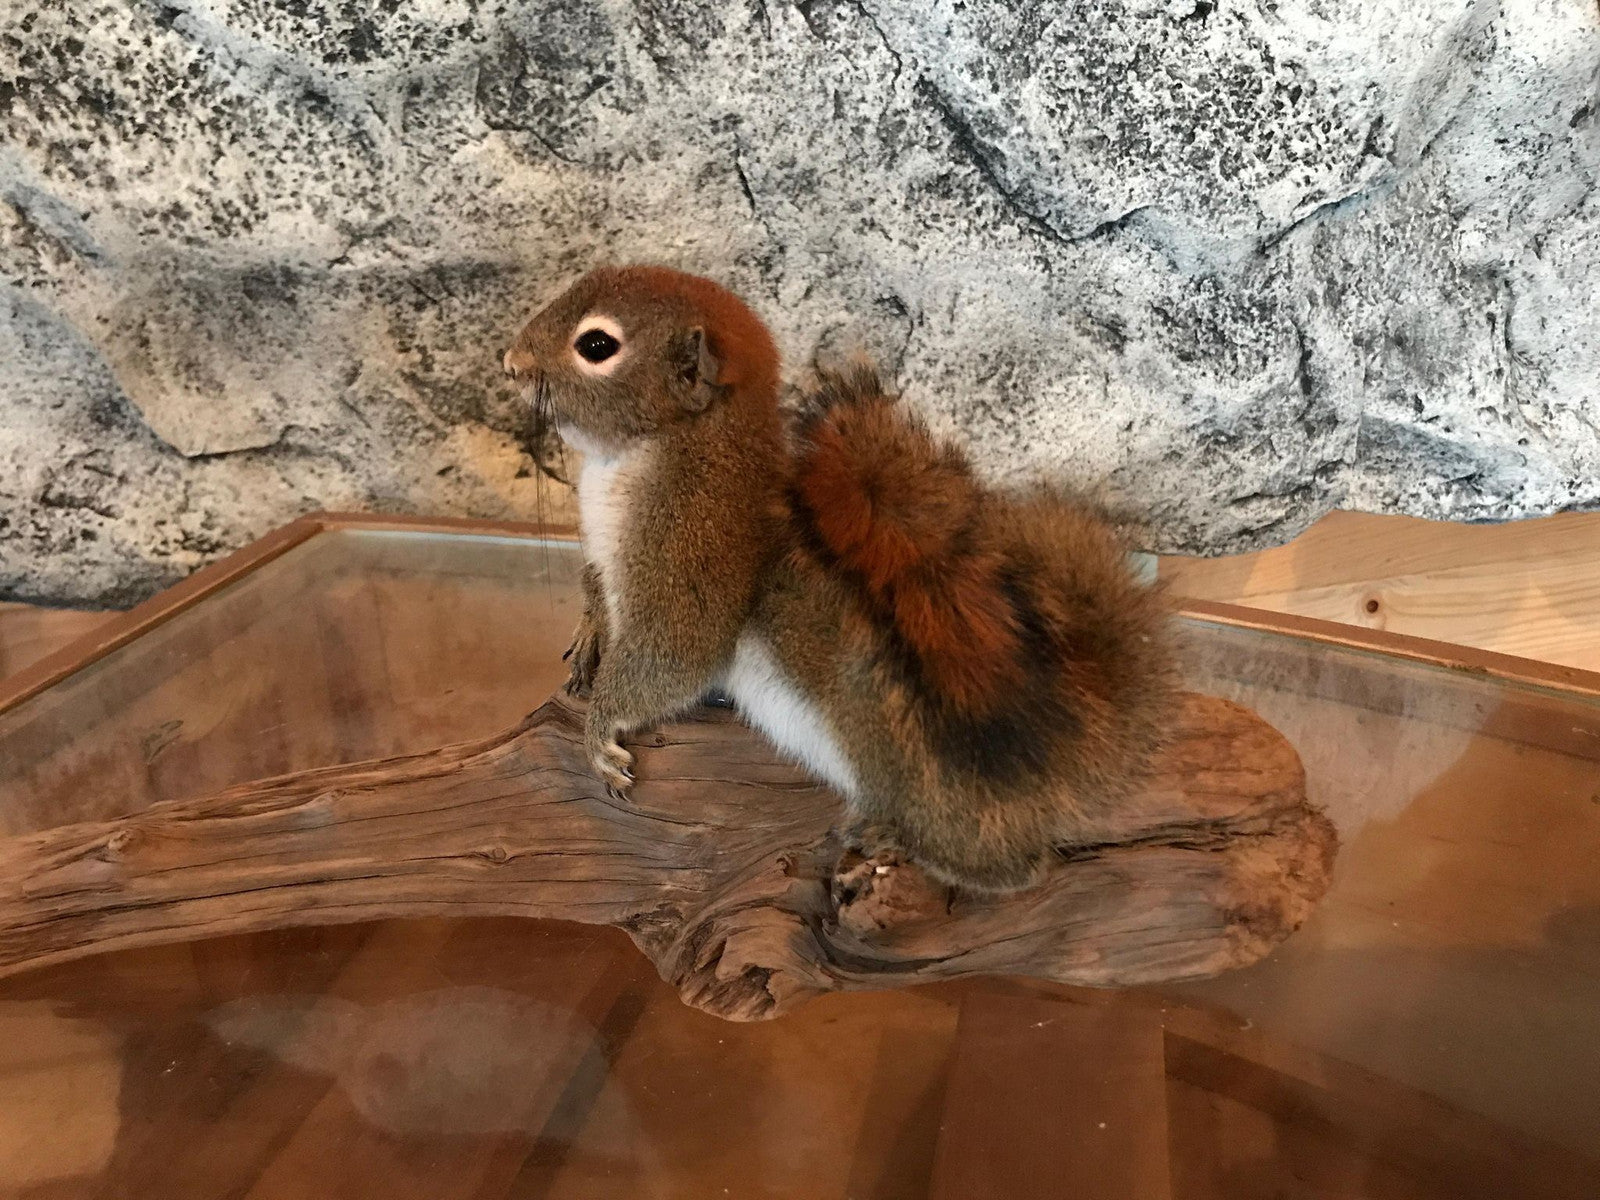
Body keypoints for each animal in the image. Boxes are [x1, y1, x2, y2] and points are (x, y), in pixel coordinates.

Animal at [503, 265, 1175, 893]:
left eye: (596, 346)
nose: (509, 364)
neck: (645, 452)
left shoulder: (692, 554)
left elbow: (674, 657)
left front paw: (598, 730)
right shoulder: (601, 555)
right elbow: (596, 590)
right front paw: (589, 635)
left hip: (904, 769)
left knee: (1010, 866)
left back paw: (902, 842)